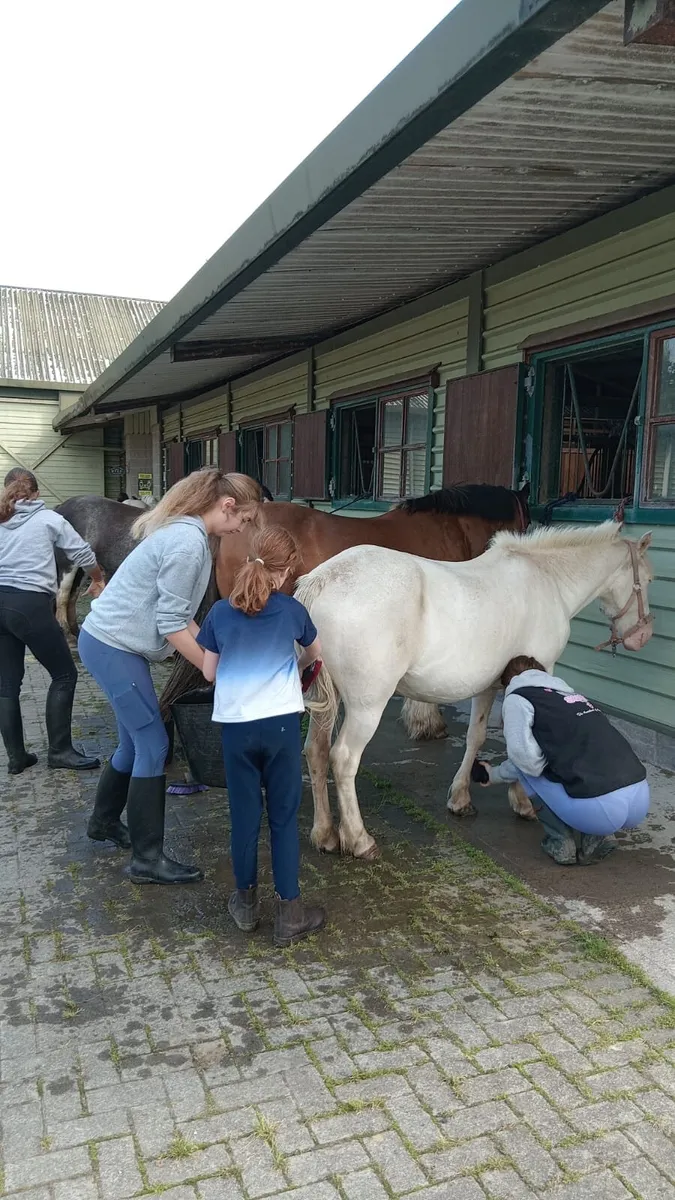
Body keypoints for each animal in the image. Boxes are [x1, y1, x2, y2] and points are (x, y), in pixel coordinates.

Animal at [295, 522, 653, 860]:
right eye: (649, 579)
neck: (547, 579)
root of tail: (324, 579)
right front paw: (521, 802)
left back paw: (325, 835)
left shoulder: (488, 686)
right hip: (366, 706)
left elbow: (476, 737)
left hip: (326, 701)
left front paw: (460, 798)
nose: (643, 636)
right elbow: (519, 744)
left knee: (316, 751)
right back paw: (359, 840)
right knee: (343, 759)